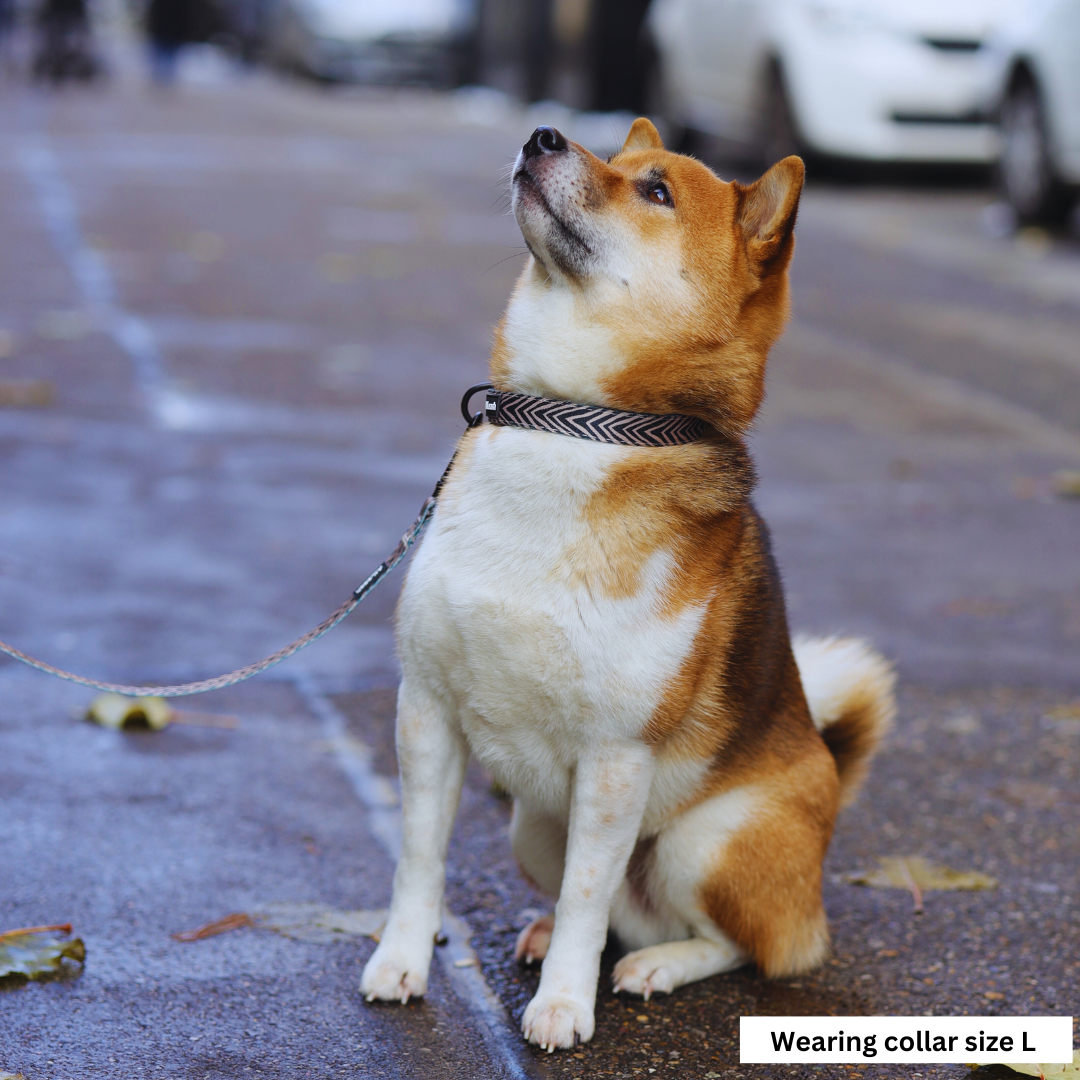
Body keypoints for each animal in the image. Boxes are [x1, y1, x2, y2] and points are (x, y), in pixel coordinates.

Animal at [360, 120, 894, 1054]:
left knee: (741, 946)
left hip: (704, 842)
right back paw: (552, 937)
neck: (572, 424)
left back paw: (657, 965)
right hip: (531, 822)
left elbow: (588, 893)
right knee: (619, 908)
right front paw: (401, 961)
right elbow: (419, 859)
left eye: (656, 191)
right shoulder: (425, 708)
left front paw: (565, 1007)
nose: (542, 133)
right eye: (613, 158)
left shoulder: (616, 758)